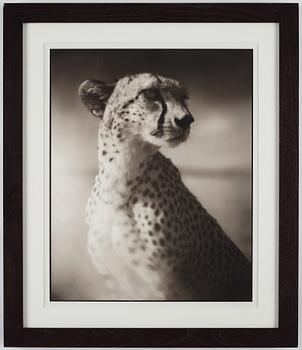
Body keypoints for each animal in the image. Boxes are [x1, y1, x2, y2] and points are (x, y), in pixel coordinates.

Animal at [79, 73, 251, 300]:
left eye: (183, 98)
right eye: (151, 93)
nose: (187, 119)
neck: (119, 176)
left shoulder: (163, 284)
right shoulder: (118, 285)